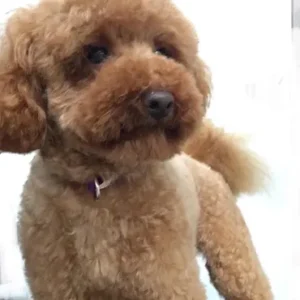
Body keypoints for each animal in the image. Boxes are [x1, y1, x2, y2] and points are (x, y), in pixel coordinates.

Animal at [0, 0, 272, 298]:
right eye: (95, 53)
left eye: (163, 51)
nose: (162, 100)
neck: (100, 185)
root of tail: (200, 162)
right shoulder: (57, 284)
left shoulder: (168, 281)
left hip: (233, 258)